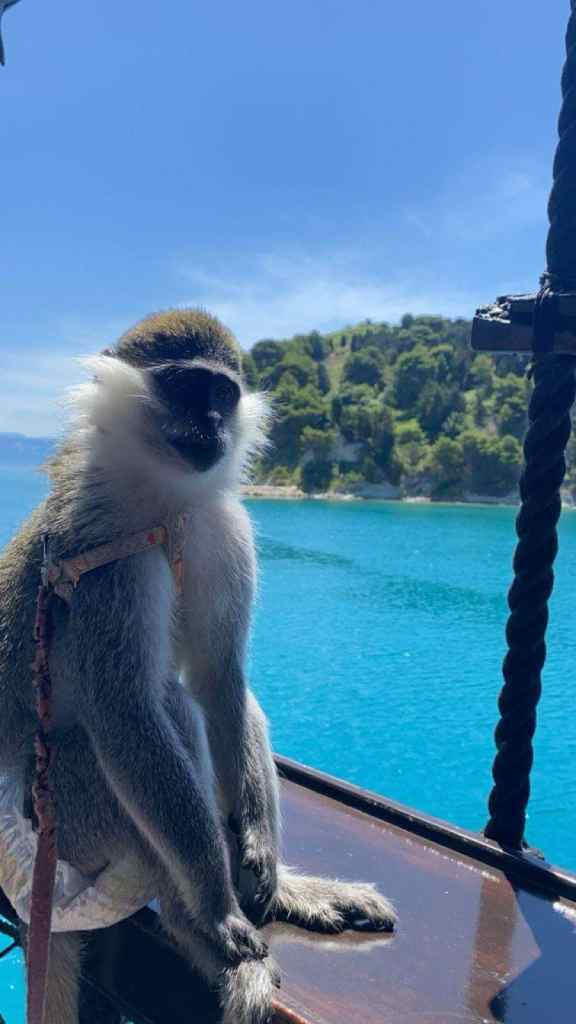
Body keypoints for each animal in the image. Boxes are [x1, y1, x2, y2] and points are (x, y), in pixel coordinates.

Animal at [0, 308, 396, 1024]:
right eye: (186, 389)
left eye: (221, 394)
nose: (211, 423)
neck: (168, 504)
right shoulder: (106, 564)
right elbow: (128, 714)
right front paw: (215, 910)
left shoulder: (224, 525)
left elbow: (220, 678)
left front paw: (260, 850)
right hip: (67, 817)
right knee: (155, 718)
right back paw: (199, 925)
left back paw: (284, 887)